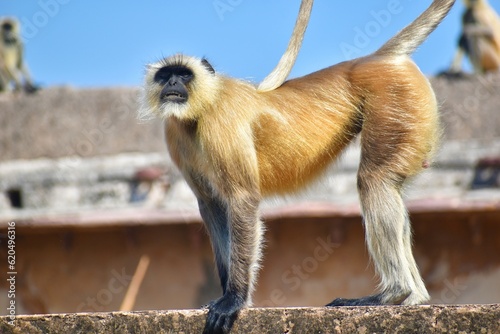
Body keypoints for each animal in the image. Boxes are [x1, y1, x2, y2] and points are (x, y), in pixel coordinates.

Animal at [140, 0, 458, 334]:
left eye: (184, 75)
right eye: (165, 75)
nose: (173, 83)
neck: (201, 109)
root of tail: (372, 60)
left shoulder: (221, 121)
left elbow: (242, 199)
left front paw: (234, 300)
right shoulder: (176, 135)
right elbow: (211, 204)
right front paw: (226, 296)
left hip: (395, 98)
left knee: (375, 180)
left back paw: (394, 293)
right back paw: (413, 297)